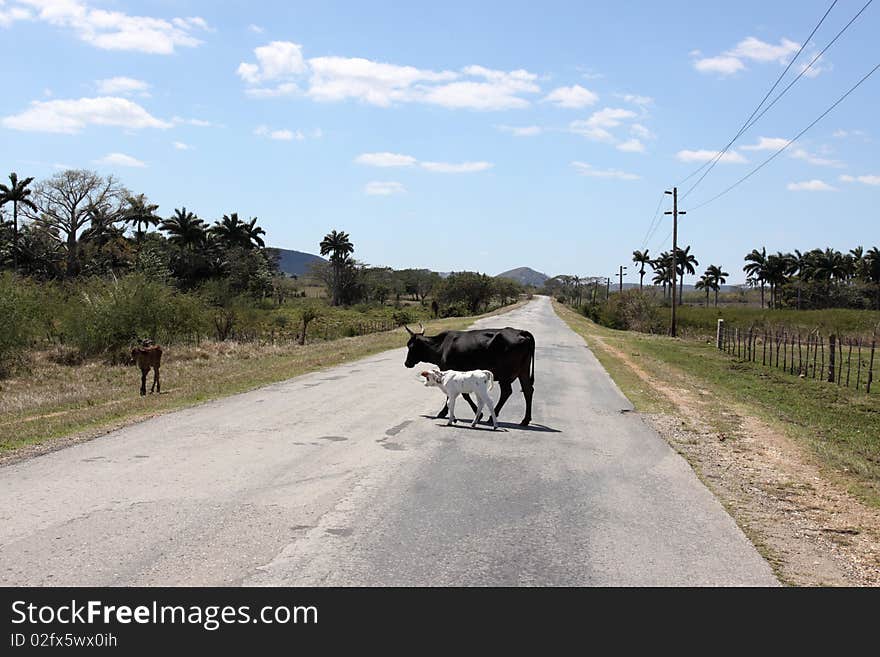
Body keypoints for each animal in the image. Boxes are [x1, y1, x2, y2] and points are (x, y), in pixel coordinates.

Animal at [402, 322, 532, 426]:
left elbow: (459, 396)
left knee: (507, 392)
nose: (407, 363)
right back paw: (525, 420)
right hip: (523, 371)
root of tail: (522, 332)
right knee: (527, 390)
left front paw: (445, 413)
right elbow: (463, 395)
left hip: (505, 374)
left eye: (410, 346)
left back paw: (493, 417)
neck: (441, 347)